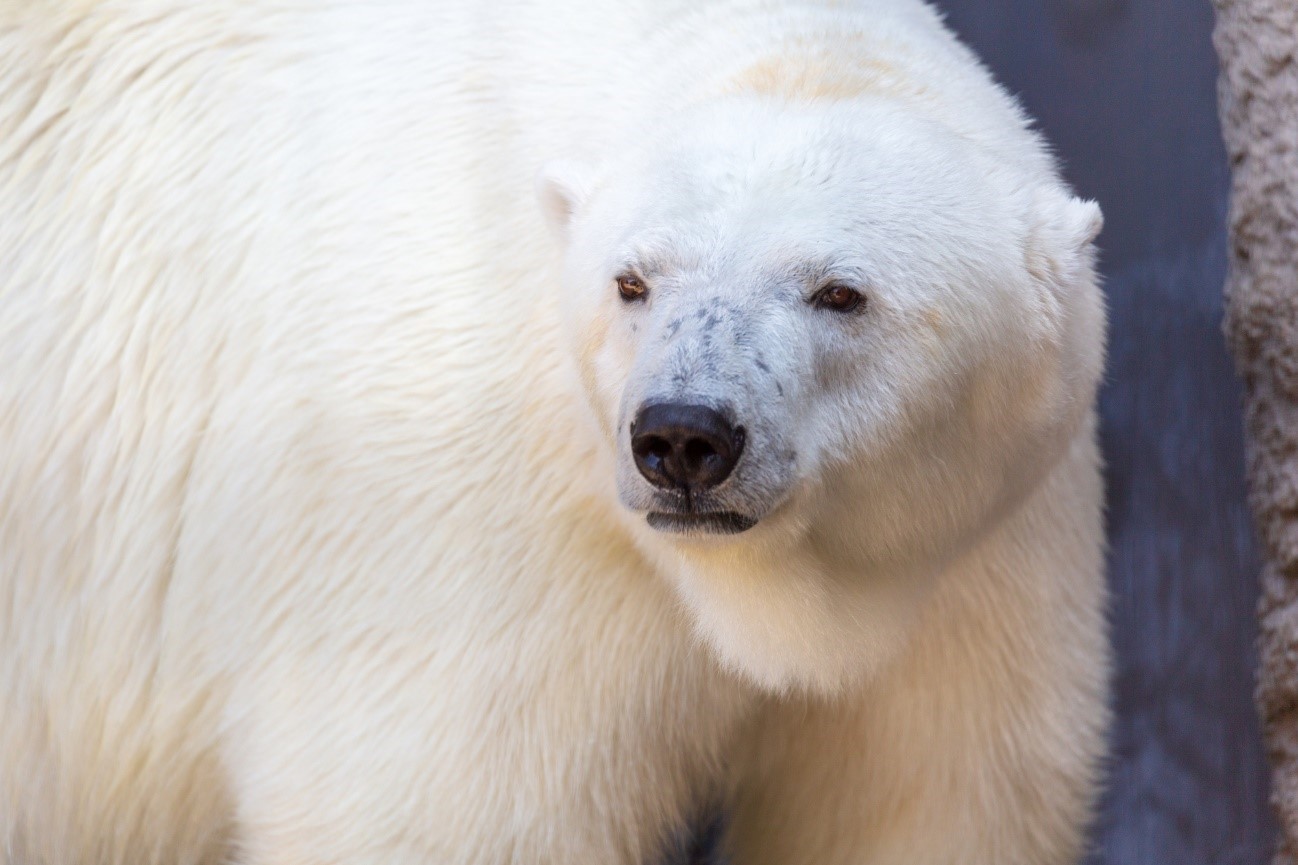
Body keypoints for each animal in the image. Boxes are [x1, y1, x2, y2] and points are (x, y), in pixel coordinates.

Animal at [2, 1, 1105, 862]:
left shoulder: (976, 554)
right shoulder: (458, 517)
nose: (684, 437)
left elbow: (923, 798)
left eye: (839, 291)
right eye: (632, 280)